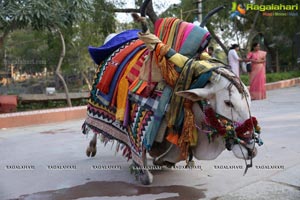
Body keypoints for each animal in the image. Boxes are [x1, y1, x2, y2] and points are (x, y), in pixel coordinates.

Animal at [82, 0, 262, 184]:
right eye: (228, 103)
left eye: (248, 99)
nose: (251, 149)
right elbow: (141, 159)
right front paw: (144, 172)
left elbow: (169, 156)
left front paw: (161, 159)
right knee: (93, 125)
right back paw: (92, 146)